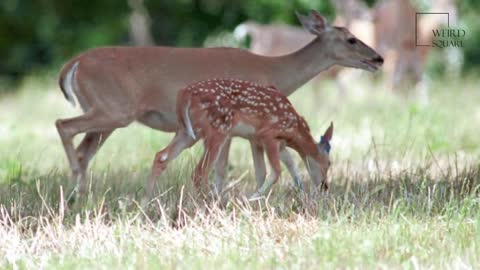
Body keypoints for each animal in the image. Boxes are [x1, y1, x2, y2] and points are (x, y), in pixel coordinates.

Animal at [149, 78, 334, 198]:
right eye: (329, 163)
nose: (325, 186)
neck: (296, 130)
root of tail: (184, 93)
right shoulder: (268, 134)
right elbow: (276, 171)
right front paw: (253, 198)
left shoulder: (258, 139)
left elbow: (270, 169)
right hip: (218, 129)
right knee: (199, 172)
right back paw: (209, 203)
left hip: (187, 131)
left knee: (161, 156)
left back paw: (147, 201)